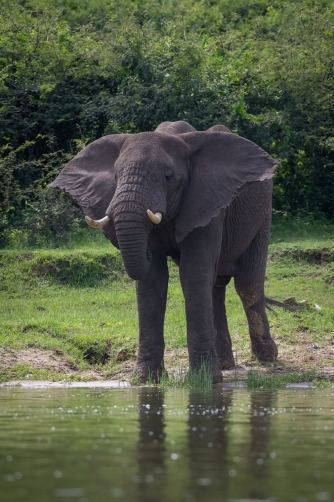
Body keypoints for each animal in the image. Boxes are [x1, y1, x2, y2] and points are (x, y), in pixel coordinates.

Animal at [49, 119, 278, 382]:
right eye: (116, 176)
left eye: (168, 177)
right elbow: (153, 280)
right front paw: (145, 379)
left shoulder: (206, 203)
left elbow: (193, 274)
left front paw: (205, 381)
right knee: (215, 287)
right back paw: (225, 364)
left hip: (263, 214)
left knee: (247, 284)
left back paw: (266, 357)